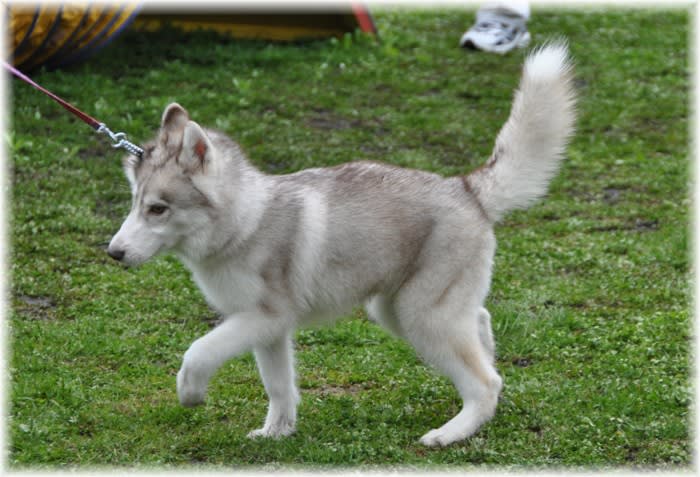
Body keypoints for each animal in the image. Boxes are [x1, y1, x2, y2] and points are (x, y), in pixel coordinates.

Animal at [108, 42, 576, 444]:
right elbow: (279, 386)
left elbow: (198, 352)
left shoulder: (263, 317)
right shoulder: (268, 331)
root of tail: (465, 188)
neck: (245, 221)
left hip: (421, 315)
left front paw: (191, 393)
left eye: (158, 209)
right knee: (480, 324)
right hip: (398, 310)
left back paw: (451, 433)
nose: (114, 253)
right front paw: (277, 433)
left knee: (485, 382)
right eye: (134, 203)